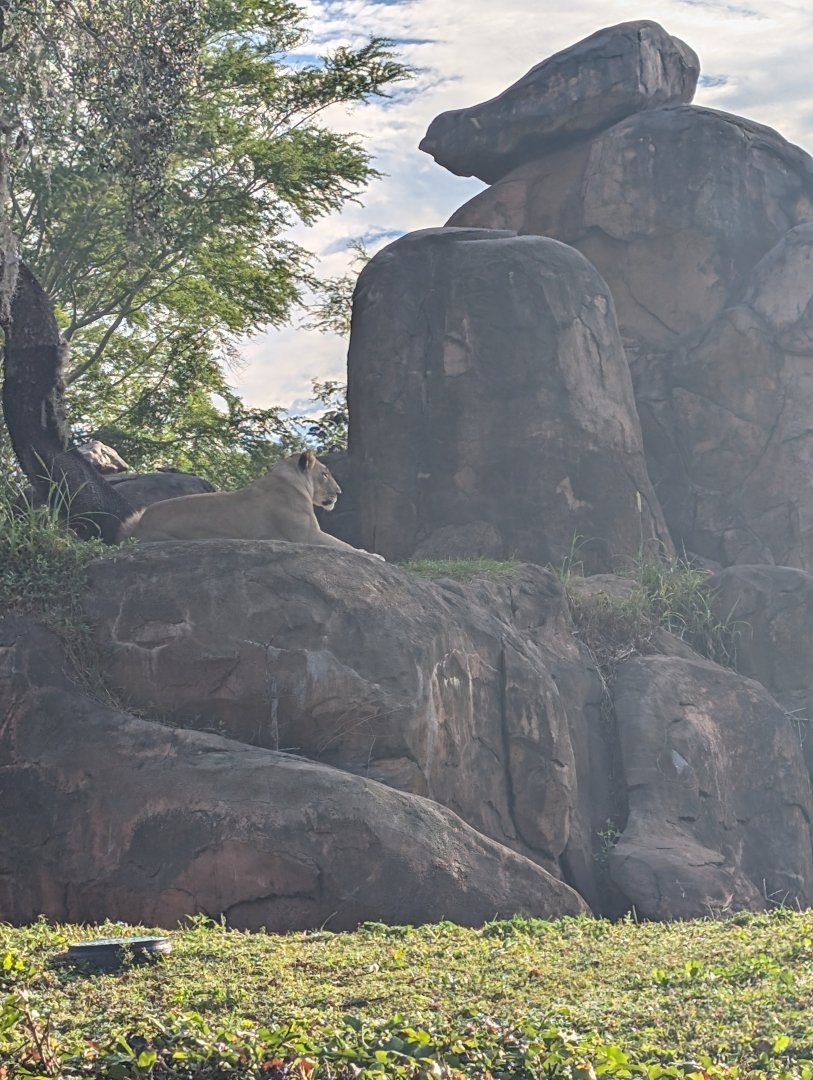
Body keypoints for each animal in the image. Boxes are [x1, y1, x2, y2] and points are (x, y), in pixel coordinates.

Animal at [118, 450, 383, 558]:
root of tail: (139, 525)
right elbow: (344, 545)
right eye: (325, 474)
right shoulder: (307, 535)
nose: (339, 492)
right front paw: (373, 555)